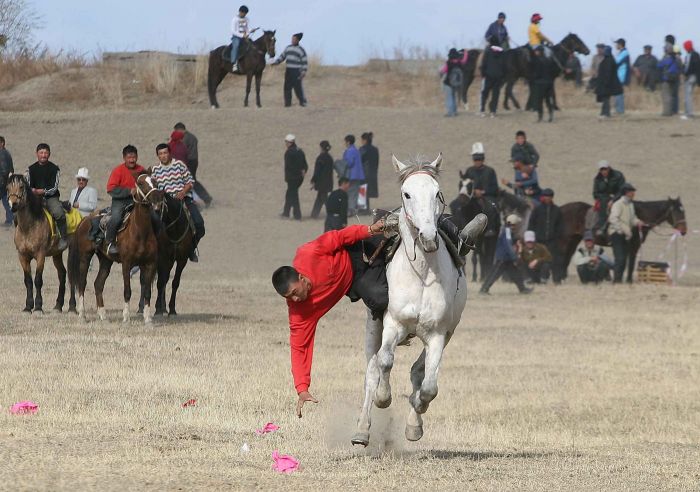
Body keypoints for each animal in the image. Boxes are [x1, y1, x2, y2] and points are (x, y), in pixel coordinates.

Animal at [7, 174, 76, 312]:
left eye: (21, 186)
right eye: (7, 188)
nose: (13, 204)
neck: (28, 227)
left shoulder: (40, 255)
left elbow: (38, 280)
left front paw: (38, 306)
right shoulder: (22, 256)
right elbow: (28, 281)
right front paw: (28, 307)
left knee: (72, 275)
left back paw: (72, 306)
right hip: (57, 254)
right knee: (62, 274)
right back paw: (58, 305)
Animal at [71, 175, 164, 324]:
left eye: (155, 182)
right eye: (140, 183)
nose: (157, 199)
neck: (140, 231)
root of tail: (85, 219)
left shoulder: (149, 264)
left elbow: (147, 292)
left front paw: (148, 319)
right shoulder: (127, 264)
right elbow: (127, 291)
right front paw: (126, 317)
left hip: (106, 260)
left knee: (98, 284)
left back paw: (103, 315)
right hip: (85, 257)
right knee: (82, 283)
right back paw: (82, 315)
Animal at [352, 154, 468, 446]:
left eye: (437, 192)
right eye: (407, 194)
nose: (428, 237)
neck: (422, 275)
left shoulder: (438, 334)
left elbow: (428, 386)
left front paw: (416, 419)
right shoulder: (393, 324)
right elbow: (385, 361)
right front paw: (384, 398)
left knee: (418, 371)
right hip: (373, 326)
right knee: (372, 370)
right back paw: (362, 430)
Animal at [556, 196, 688, 280]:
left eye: (683, 211)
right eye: (676, 211)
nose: (684, 230)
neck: (639, 214)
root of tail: (561, 209)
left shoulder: (633, 246)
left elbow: (630, 263)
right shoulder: (631, 245)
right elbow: (627, 263)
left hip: (574, 239)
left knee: (566, 258)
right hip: (565, 240)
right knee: (561, 257)